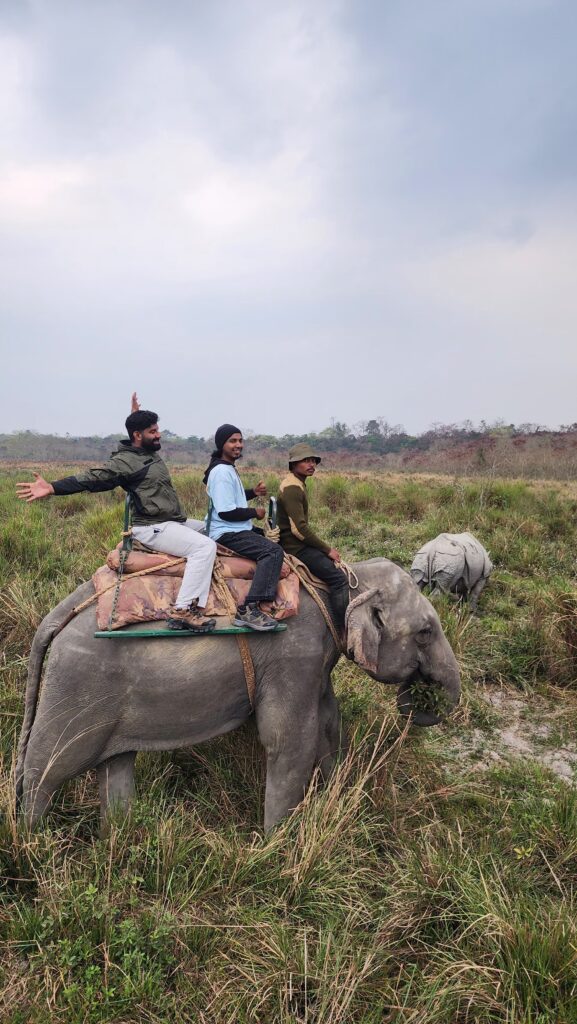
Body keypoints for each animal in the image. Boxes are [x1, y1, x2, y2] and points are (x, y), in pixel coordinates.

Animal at [16, 558, 461, 832]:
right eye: (425, 632)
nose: (424, 700)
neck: (343, 580)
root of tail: (56, 617)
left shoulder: (314, 660)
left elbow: (329, 722)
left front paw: (334, 796)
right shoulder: (292, 655)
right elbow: (289, 742)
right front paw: (277, 844)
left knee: (116, 765)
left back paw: (121, 839)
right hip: (76, 686)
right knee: (46, 770)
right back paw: (33, 843)